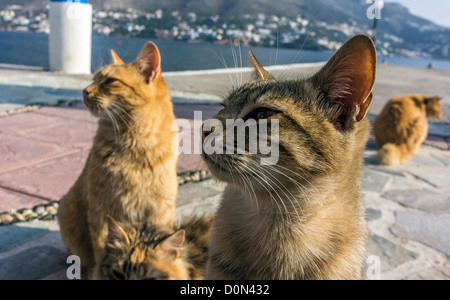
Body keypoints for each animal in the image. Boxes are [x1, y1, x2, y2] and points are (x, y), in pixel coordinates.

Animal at [55, 42, 177, 278]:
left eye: (110, 81)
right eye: (93, 79)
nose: (85, 90)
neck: (134, 146)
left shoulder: (159, 212)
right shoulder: (102, 210)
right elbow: (102, 249)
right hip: (67, 209)